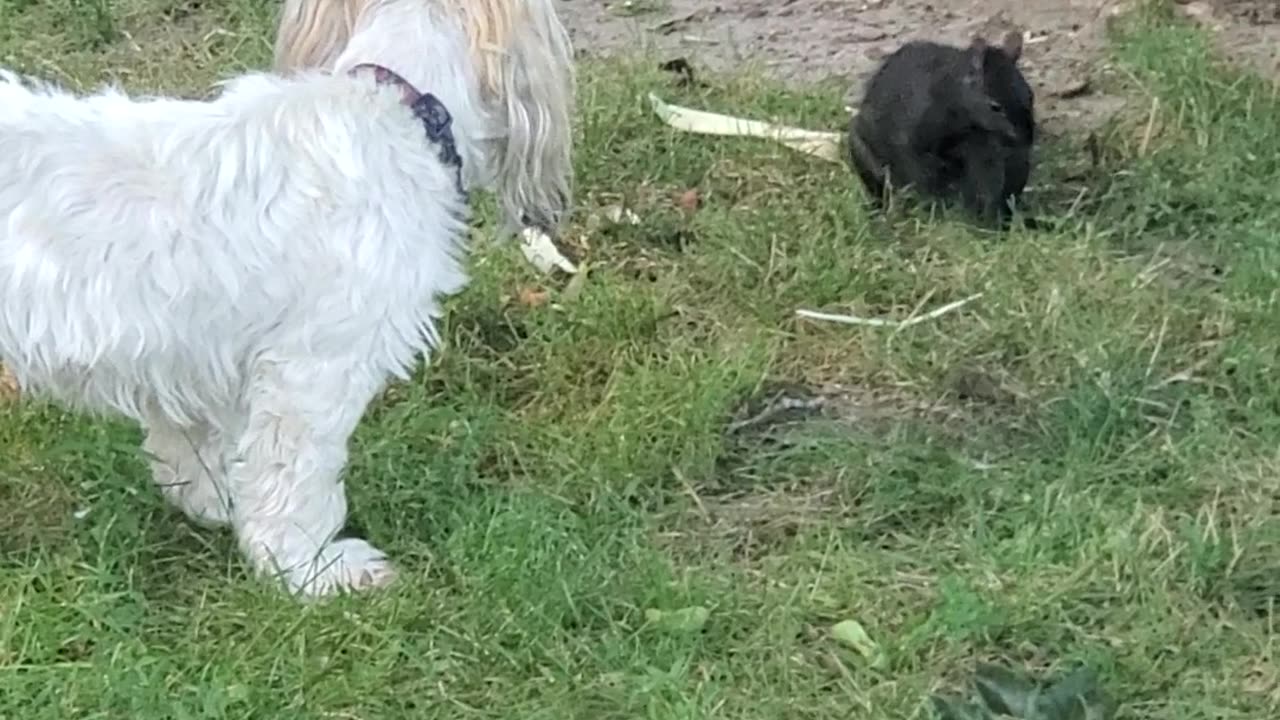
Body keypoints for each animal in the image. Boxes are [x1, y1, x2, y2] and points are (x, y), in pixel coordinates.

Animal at [0, 65, 471, 594]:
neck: (390, 110)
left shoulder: (193, 360)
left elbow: (195, 451)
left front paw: (216, 504)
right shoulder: (317, 365)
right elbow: (294, 477)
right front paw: (313, 569)